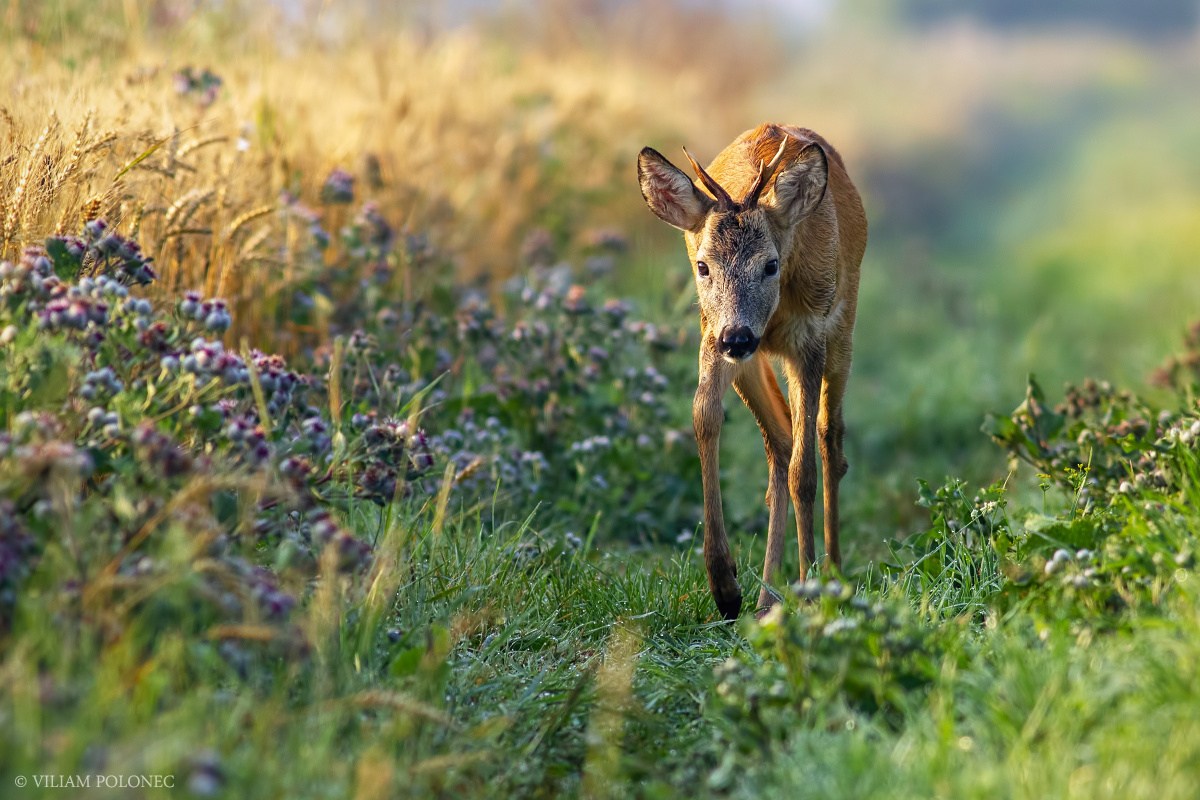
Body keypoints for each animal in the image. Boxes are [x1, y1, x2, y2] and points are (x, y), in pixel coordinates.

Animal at [643, 123, 868, 618]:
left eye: (770, 264)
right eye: (703, 266)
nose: (739, 338)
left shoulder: (810, 336)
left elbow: (806, 471)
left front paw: (810, 590)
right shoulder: (712, 331)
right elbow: (704, 418)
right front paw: (724, 587)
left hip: (843, 328)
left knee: (829, 439)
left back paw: (832, 573)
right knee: (780, 440)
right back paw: (767, 599)